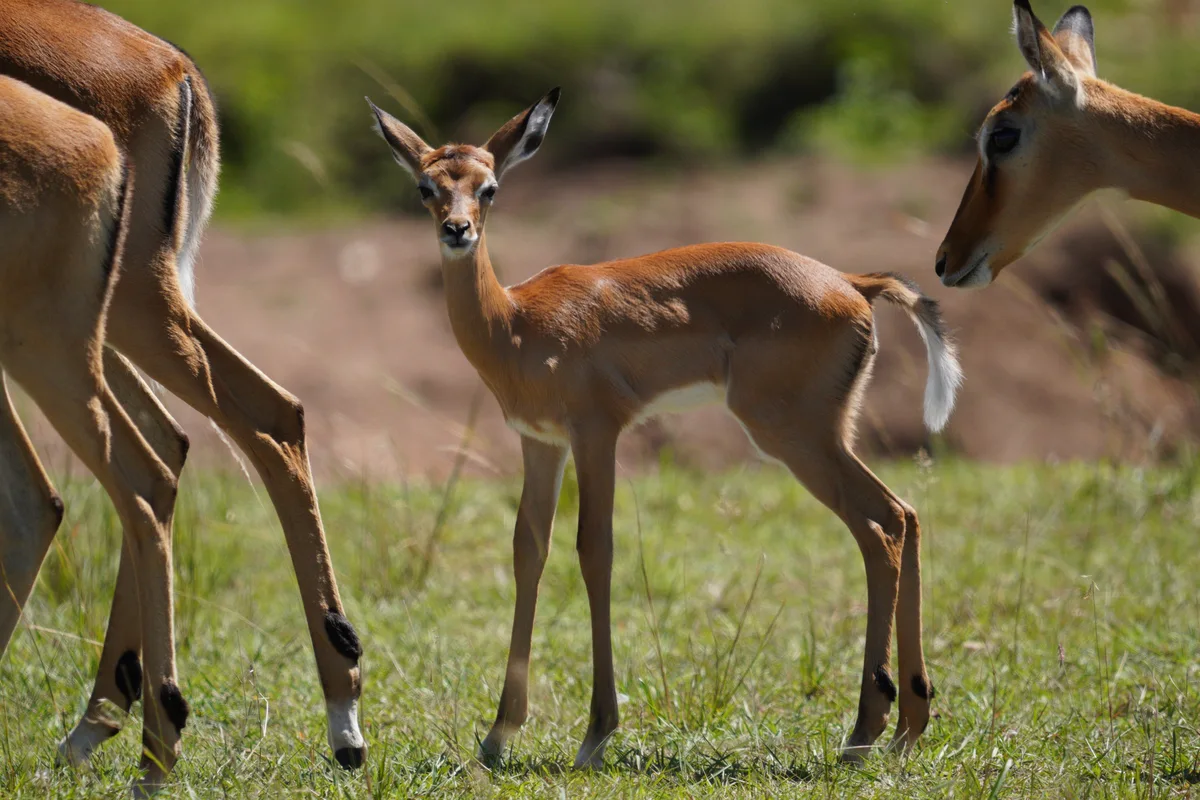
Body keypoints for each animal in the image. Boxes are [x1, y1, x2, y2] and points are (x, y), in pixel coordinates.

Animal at [368, 88, 963, 767]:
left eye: (488, 187)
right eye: (426, 187)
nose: (457, 230)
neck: (515, 322)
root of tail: (853, 284)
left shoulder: (597, 434)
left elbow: (594, 550)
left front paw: (596, 733)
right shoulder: (540, 443)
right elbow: (529, 550)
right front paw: (498, 735)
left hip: (794, 435)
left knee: (879, 528)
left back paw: (864, 730)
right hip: (824, 433)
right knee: (904, 515)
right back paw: (907, 726)